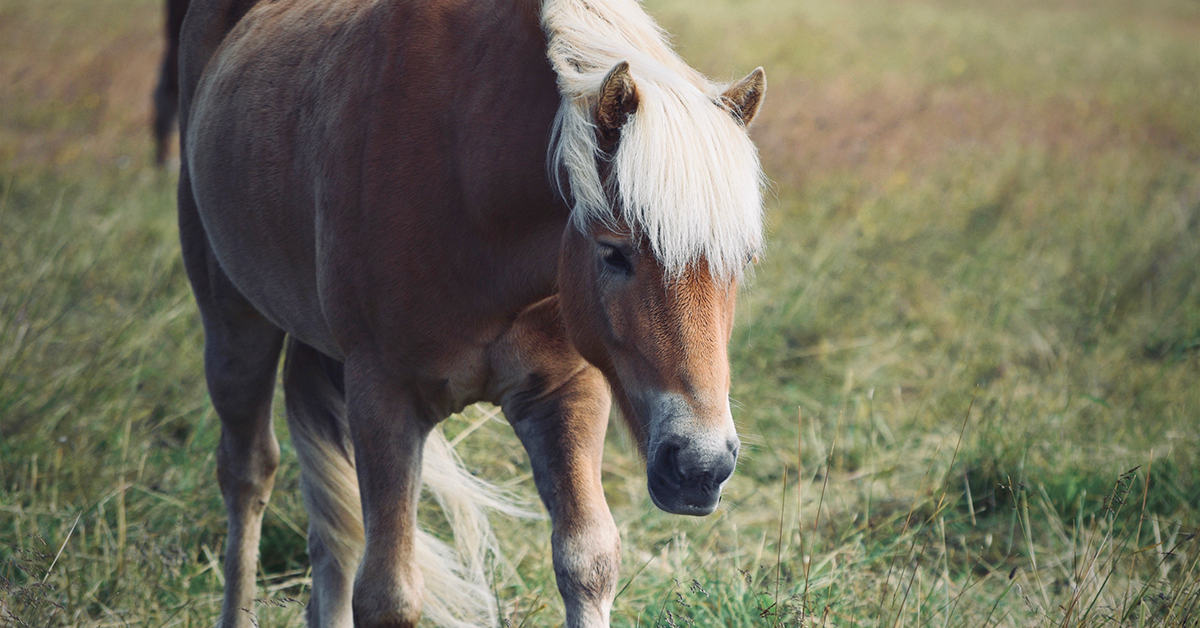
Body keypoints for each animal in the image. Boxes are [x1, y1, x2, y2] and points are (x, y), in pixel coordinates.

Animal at [173, 0, 767, 625]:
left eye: (743, 260)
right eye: (614, 253)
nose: (701, 466)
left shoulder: (567, 393)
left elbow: (588, 561)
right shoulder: (385, 400)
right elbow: (387, 594)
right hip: (234, 324)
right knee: (247, 474)